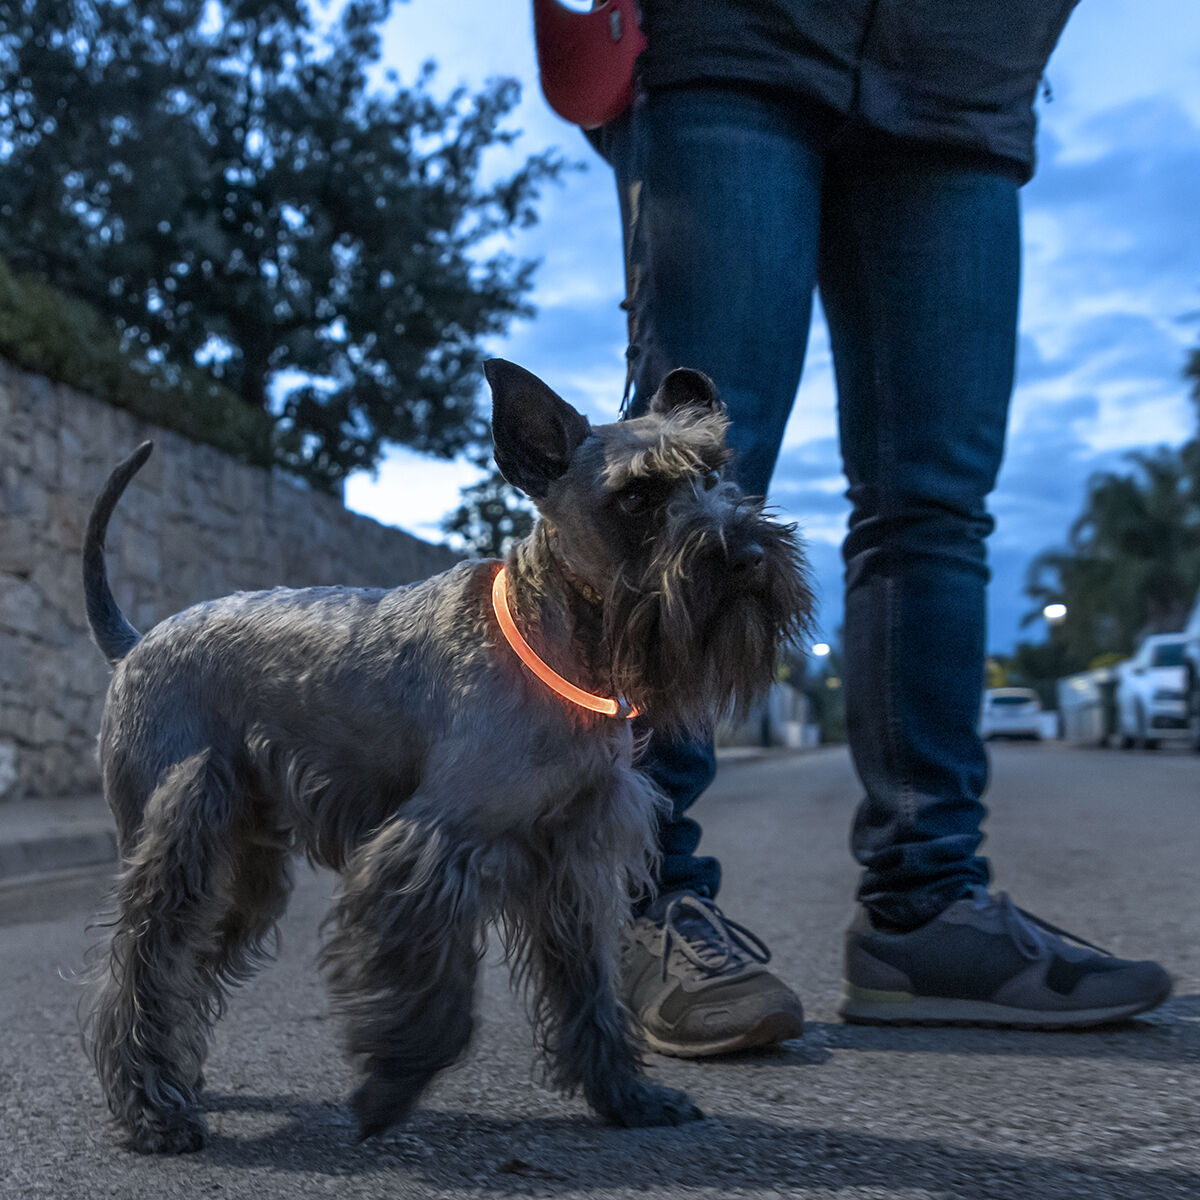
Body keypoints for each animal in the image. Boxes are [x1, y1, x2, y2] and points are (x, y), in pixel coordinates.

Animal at [79, 357, 811, 1152]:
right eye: (638, 496)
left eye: (717, 473)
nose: (748, 555)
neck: (559, 641)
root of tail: (136, 642)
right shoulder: (433, 847)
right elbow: (439, 998)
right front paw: (388, 1090)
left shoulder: (575, 859)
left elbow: (591, 988)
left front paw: (627, 1095)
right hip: (181, 838)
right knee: (140, 969)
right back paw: (152, 1109)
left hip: (244, 873)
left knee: (183, 969)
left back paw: (173, 1082)